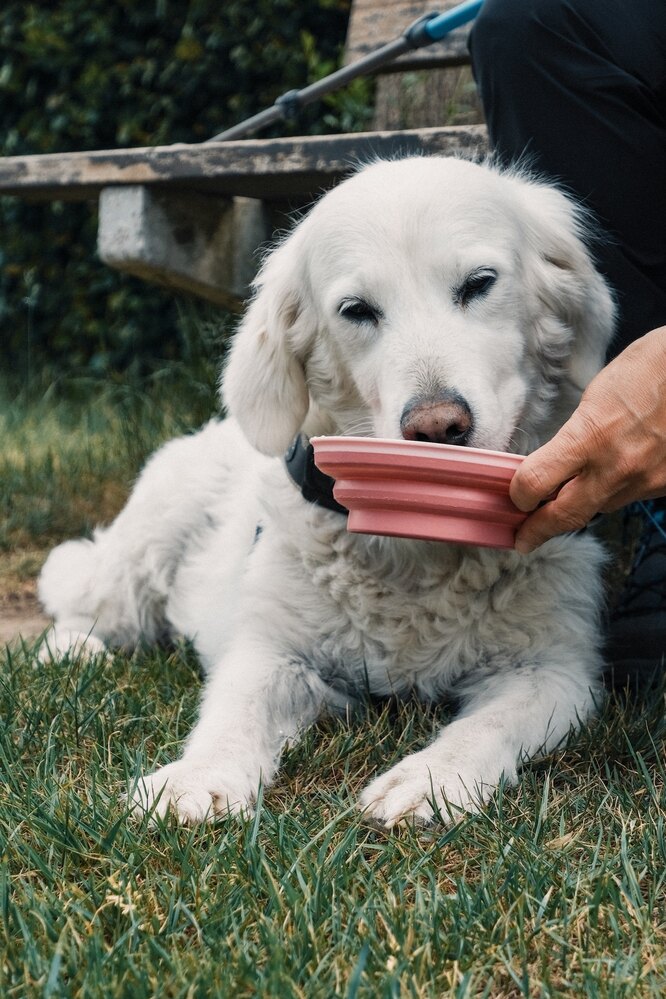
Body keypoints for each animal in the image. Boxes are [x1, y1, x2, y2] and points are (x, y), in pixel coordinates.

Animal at [39, 158, 616, 828]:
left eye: (479, 283)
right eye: (357, 309)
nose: (437, 427)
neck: (420, 548)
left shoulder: (553, 671)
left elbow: (485, 726)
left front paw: (430, 779)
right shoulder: (272, 650)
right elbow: (233, 714)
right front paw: (195, 779)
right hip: (143, 553)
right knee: (82, 608)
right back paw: (75, 653)